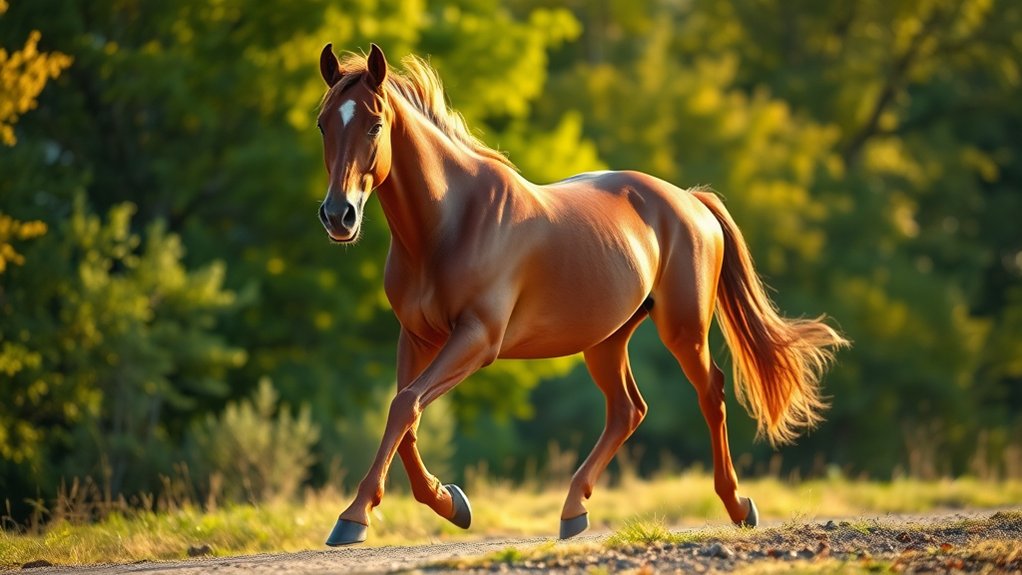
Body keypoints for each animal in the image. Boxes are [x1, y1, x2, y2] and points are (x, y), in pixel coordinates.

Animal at [315, 43, 848, 546]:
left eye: (374, 124)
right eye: (323, 124)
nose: (338, 216)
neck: (453, 221)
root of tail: (691, 201)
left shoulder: (477, 339)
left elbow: (405, 406)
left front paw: (353, 518)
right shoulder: (416, 337)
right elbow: (405, 414)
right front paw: (450, 504)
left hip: (684, 329)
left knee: (710, 393)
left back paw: (738, 506)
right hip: (606, 339)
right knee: (628, 410)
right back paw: (574, 510)